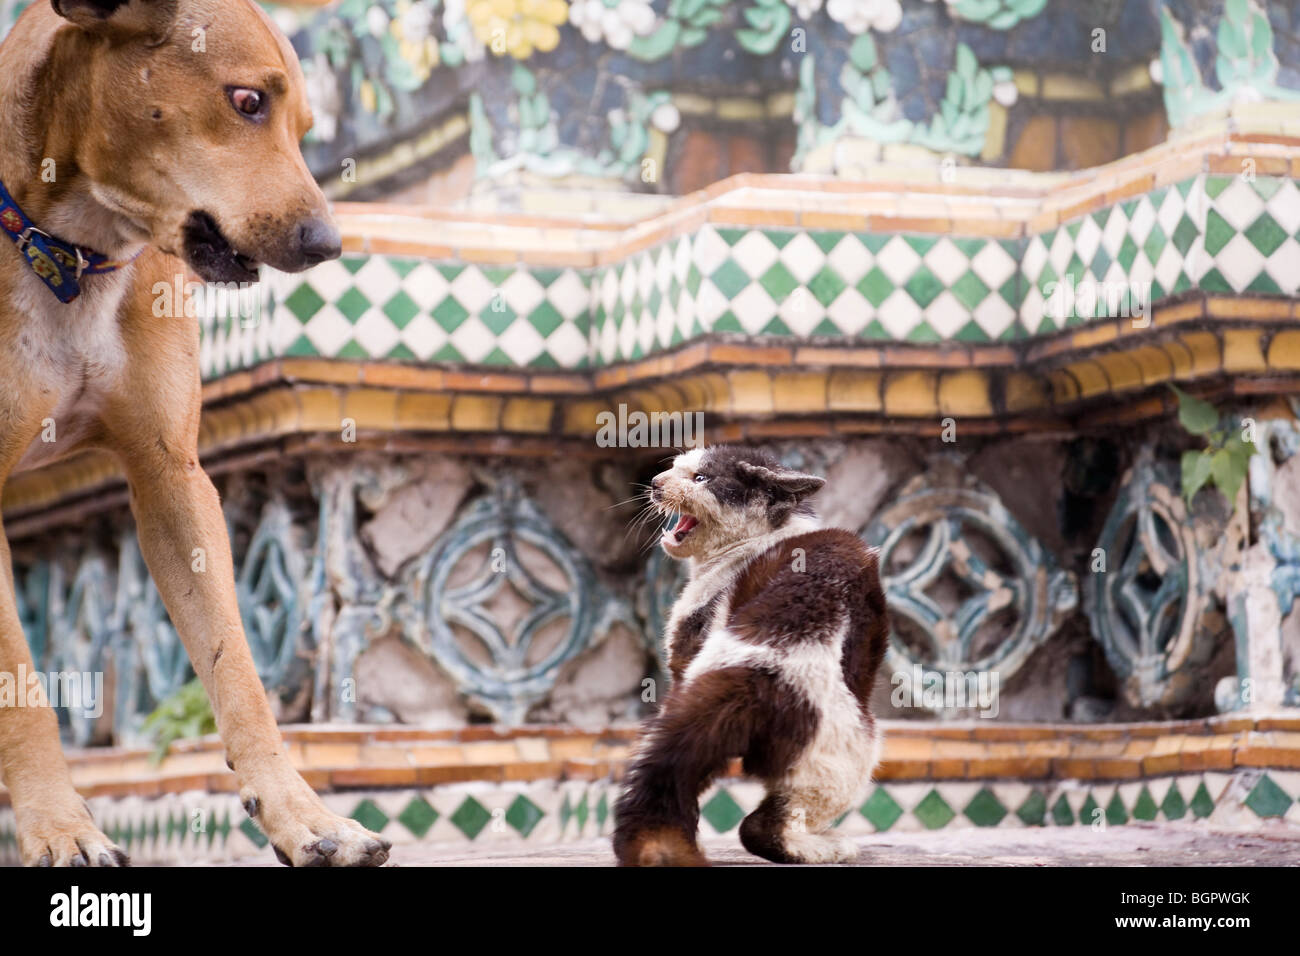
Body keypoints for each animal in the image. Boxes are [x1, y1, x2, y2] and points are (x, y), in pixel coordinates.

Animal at [0, 0, 387, 868]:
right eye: (246, 102)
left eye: (304, 125)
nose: (328, 245)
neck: (70, 252)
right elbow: (22, 691)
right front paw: (60, 829)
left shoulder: (172, 480)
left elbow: (236, 669)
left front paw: (305, 816)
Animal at [613, 447, 889, 868]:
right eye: (674, 467)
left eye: (701, 479)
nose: (656, 483)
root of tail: (759, 675)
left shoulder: (683, 656)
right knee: (762, 824)